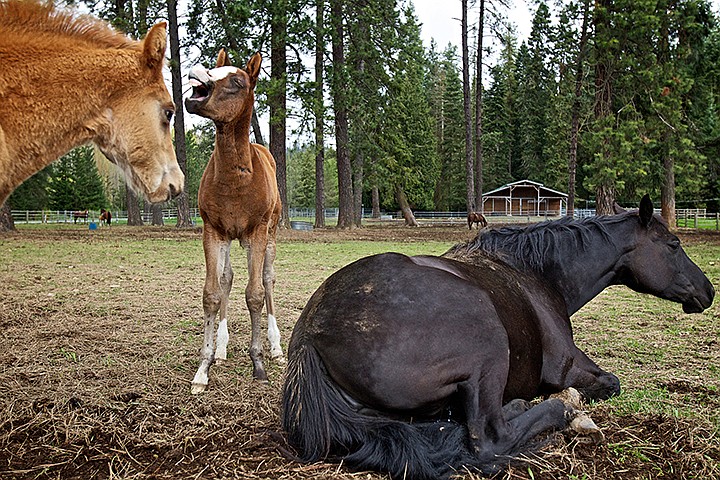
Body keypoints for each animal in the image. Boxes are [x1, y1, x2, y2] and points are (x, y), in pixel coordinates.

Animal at [184, 49, 282, 394]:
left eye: (238, 81)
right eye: (214, 70)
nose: (197, 73)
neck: (235, 179)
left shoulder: (256, 232)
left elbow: (254, 294)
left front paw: (258, 363)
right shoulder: (213, 231)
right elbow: (213, 293)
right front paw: (203, 367)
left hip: (271, 235)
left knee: (267, 279)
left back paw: (276, 347)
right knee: (227, 277)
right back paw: (222, 347)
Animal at [278, 193, 712, 478]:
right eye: (673, 244)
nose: (708, 291)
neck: (536, 274)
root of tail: (311, 339)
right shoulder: (570, 366)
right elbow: (609, 382)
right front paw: (570, 402)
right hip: (487, 348)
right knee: (491, 437)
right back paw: (560, 409)